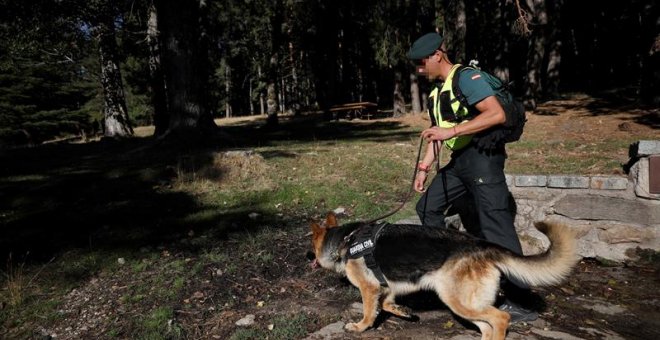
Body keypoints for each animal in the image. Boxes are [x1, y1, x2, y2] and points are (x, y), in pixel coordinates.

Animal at [310, 212, 576, 340]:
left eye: (312, 245)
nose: (308, 255)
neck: (345, 239)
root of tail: (480, 245)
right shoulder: (388, 287)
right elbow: (386, 304)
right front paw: (403, 312)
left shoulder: (369, 288)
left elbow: (369, 311)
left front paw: (360, 327)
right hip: (466, 305)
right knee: (487, 325)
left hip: (457, 300)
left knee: (501, 318)